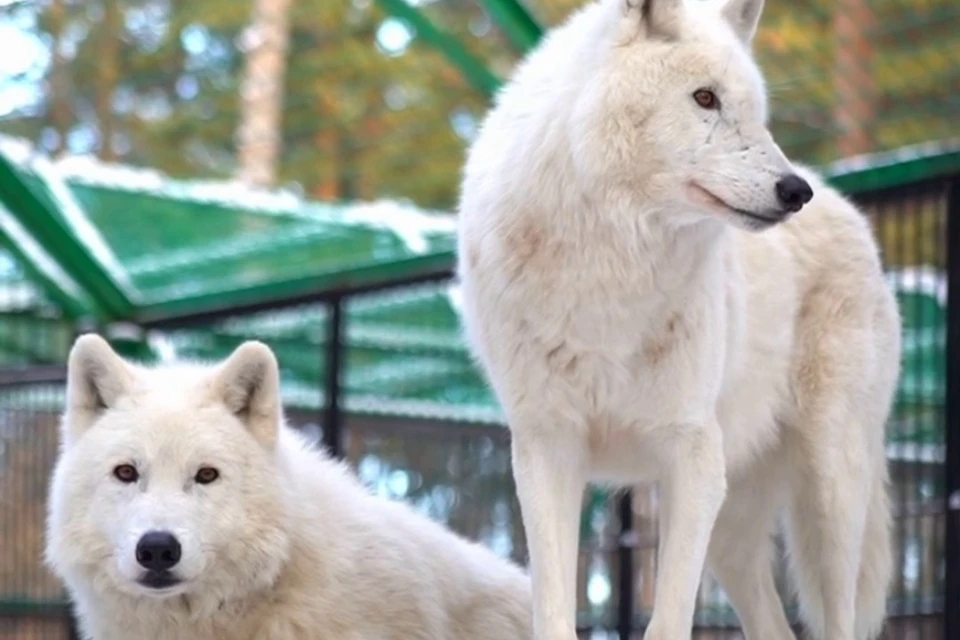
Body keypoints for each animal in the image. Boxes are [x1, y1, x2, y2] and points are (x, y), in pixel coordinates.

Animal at [456, 1, 900, 640]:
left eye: (756, 110)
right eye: (705, 98)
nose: (794, 190)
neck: (608, 270)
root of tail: (853, 212)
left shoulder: (690, 454)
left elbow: (666, 621)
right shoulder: (546, 449)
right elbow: (555, 614)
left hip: (829, 497)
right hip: (733, 533)